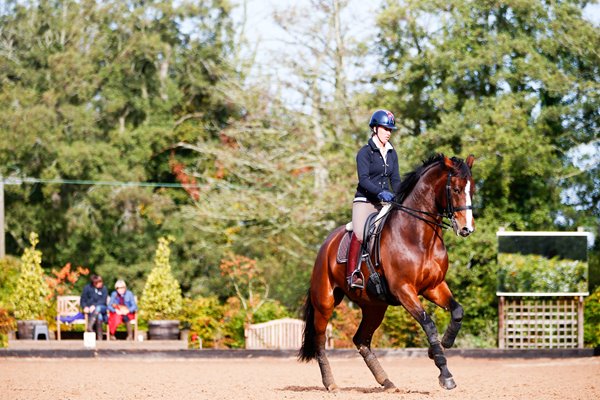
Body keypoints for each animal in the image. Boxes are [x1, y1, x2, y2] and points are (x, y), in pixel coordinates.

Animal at [298, 153, 476, 390]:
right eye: (456, 189)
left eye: (472, 190)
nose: (467, 229)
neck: (419, 237)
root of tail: (326, 244)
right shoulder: (404, 290)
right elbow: (428, 324)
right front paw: (445, 373)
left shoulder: (434, 287)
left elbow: (457, 312)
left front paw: (440, 346)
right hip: (325, 301)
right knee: (320, 340)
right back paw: (331, 384)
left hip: (374, 306)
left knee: (361, 340)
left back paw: (386, 381)